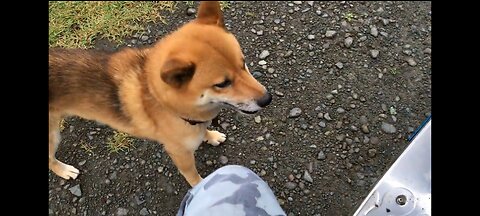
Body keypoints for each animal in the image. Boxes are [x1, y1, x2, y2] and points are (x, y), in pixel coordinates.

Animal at [51, 1, 274, 186]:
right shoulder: (180, 154)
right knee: (49, 160)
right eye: (222, 84)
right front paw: (199, 187)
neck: (168, 104)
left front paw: (210, 136)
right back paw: (63, 170)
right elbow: (192, 176)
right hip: (52, 135)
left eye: (243, 63)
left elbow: (204, 132)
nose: (267, 99)